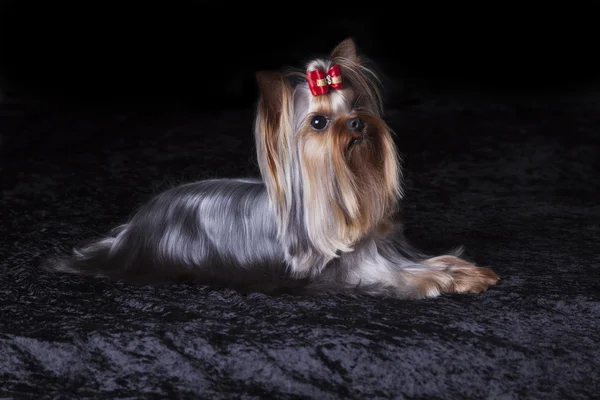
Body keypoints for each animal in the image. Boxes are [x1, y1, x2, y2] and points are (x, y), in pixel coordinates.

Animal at [43, 39, 502, 298]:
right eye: (318, 122)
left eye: (356, 107)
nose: (357, 124)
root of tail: (129, 230)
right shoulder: (347, 272)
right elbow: (397, 277)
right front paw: (433, 282)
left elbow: (430, 261)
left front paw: (466, 272)